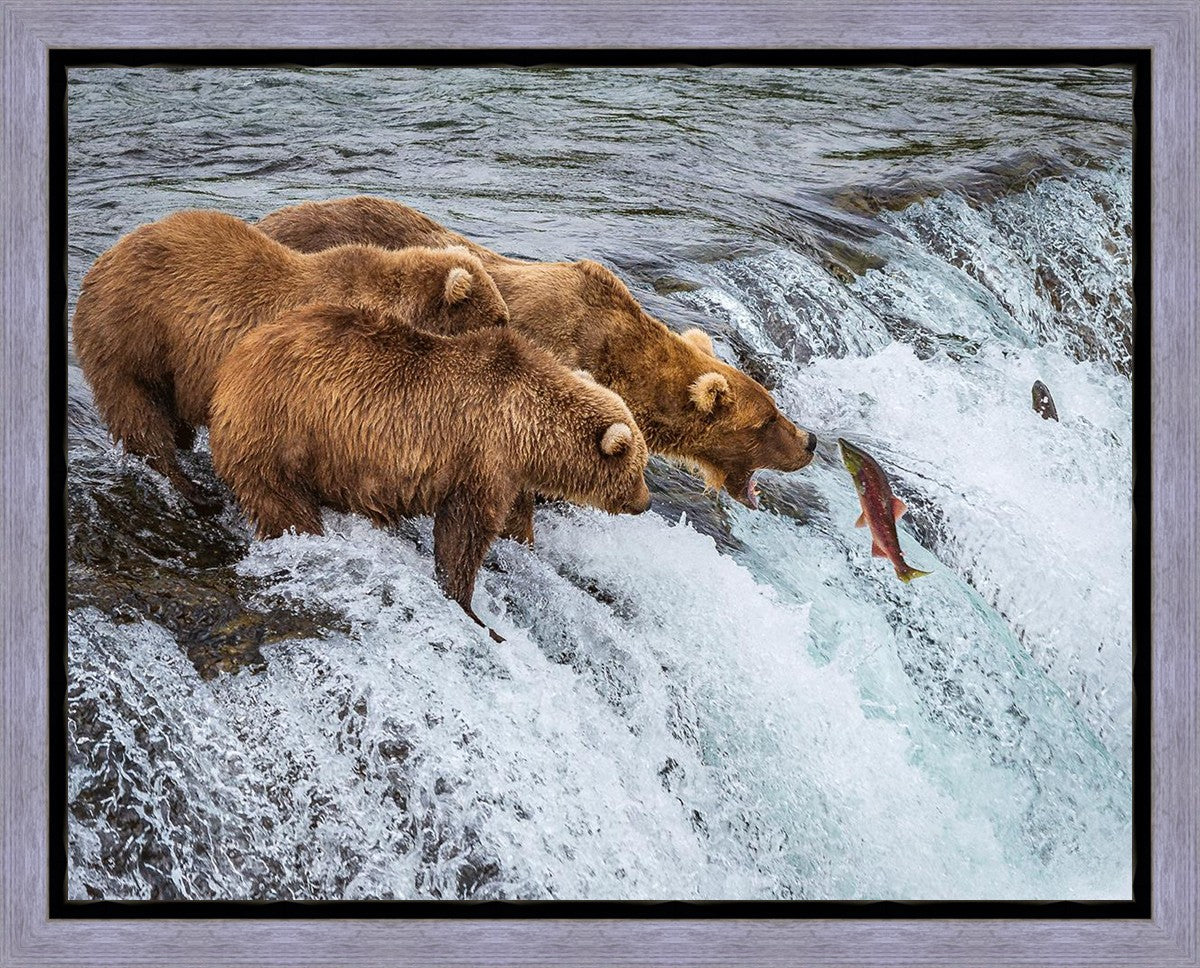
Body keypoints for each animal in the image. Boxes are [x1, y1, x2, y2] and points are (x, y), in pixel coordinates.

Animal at [72, 209, 510, 507]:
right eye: (500, 318)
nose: (512, 334)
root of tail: (100, 263)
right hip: (132, 337)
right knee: (139, 414)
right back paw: (191, 488)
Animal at [209, 302, 652, 640]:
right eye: (639, 468)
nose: (645, 502)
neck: (527, 429)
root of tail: (233, 364)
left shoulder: (509, 472)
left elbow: (513, 520)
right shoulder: (481, 456)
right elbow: (464, 533)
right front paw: (472, 609)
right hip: (282, 433)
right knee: (283, 504)